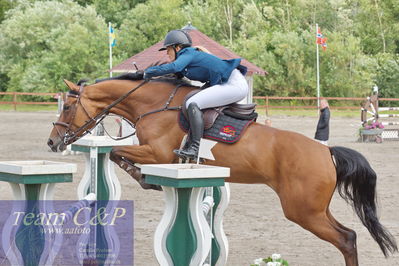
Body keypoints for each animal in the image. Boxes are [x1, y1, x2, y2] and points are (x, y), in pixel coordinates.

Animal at [47, 75, 396, 266]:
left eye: (68, 107)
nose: (52, 142)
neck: (154, 104)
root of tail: (326, 151)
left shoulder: (159, 153)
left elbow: (117, 152)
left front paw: (147, 181)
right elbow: (117, 154)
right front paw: (147, 180)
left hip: (303, 210)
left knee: (346, 238)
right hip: (314, 209)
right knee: (349, 235)